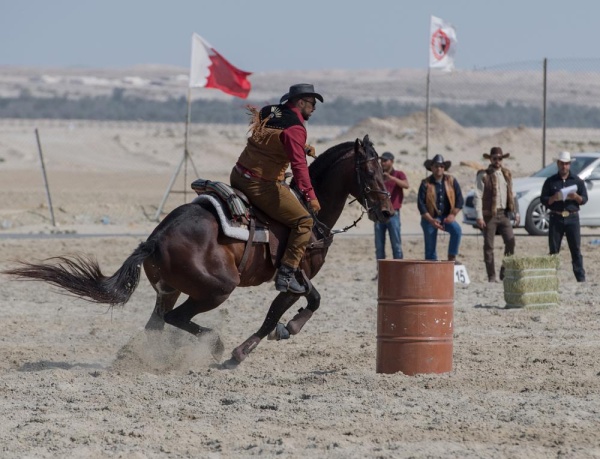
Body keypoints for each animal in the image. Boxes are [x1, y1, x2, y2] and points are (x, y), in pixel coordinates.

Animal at [3, 135, 394, 368]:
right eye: (371, 168)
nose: (387, 211)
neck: (309, 213)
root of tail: (156, 239)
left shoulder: (298, 277)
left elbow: (310, 301)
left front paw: (286, 328)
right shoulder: (294, 276)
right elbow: (281, 312)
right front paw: (249, 348)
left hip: (169, 290)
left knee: (157, 323)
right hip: (217, 288)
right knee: (177, 320)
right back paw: (215, 345)